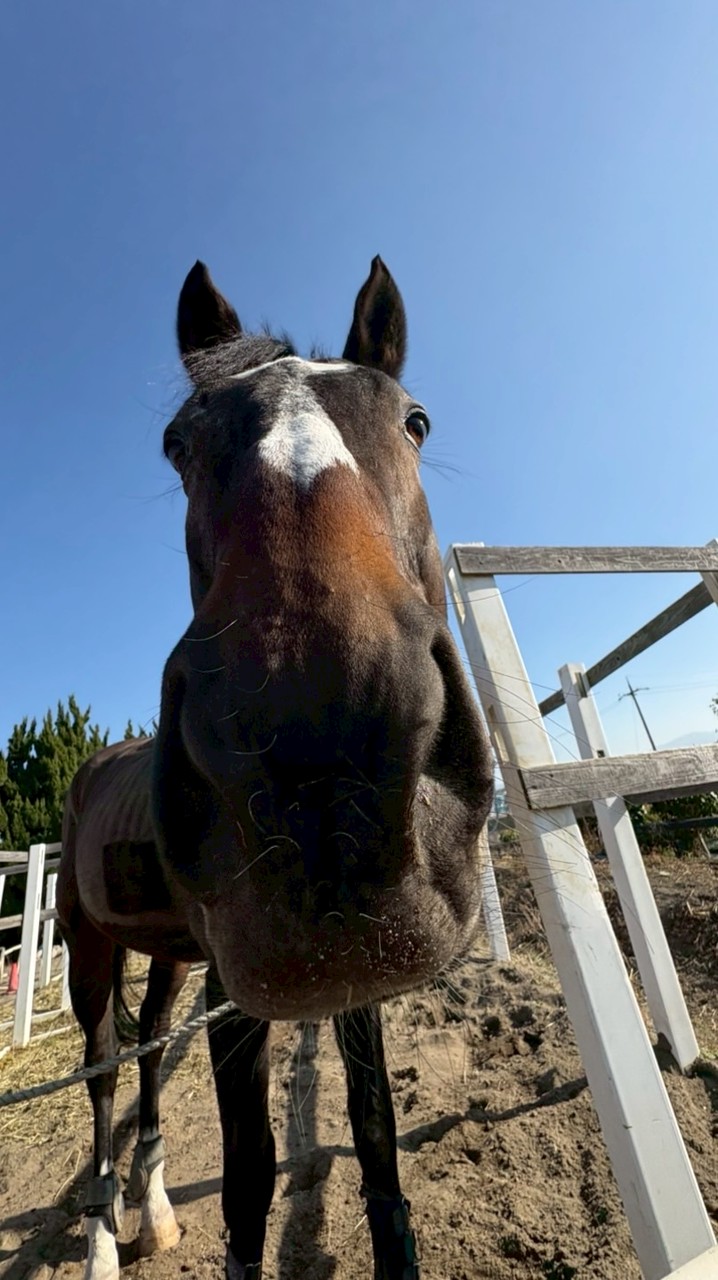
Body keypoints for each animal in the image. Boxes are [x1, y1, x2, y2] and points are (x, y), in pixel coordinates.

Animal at [57, 255, 494, 1280]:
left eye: (416, 421)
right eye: (177, 443)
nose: (320, 749)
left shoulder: (346, 970)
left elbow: (375, 1136)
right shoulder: (233, 995)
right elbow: (252, 1177)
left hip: (166, 957)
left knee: (144, 1048)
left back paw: (153, 1207)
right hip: (87, 948)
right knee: (102, 1071)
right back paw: (102, 1236)